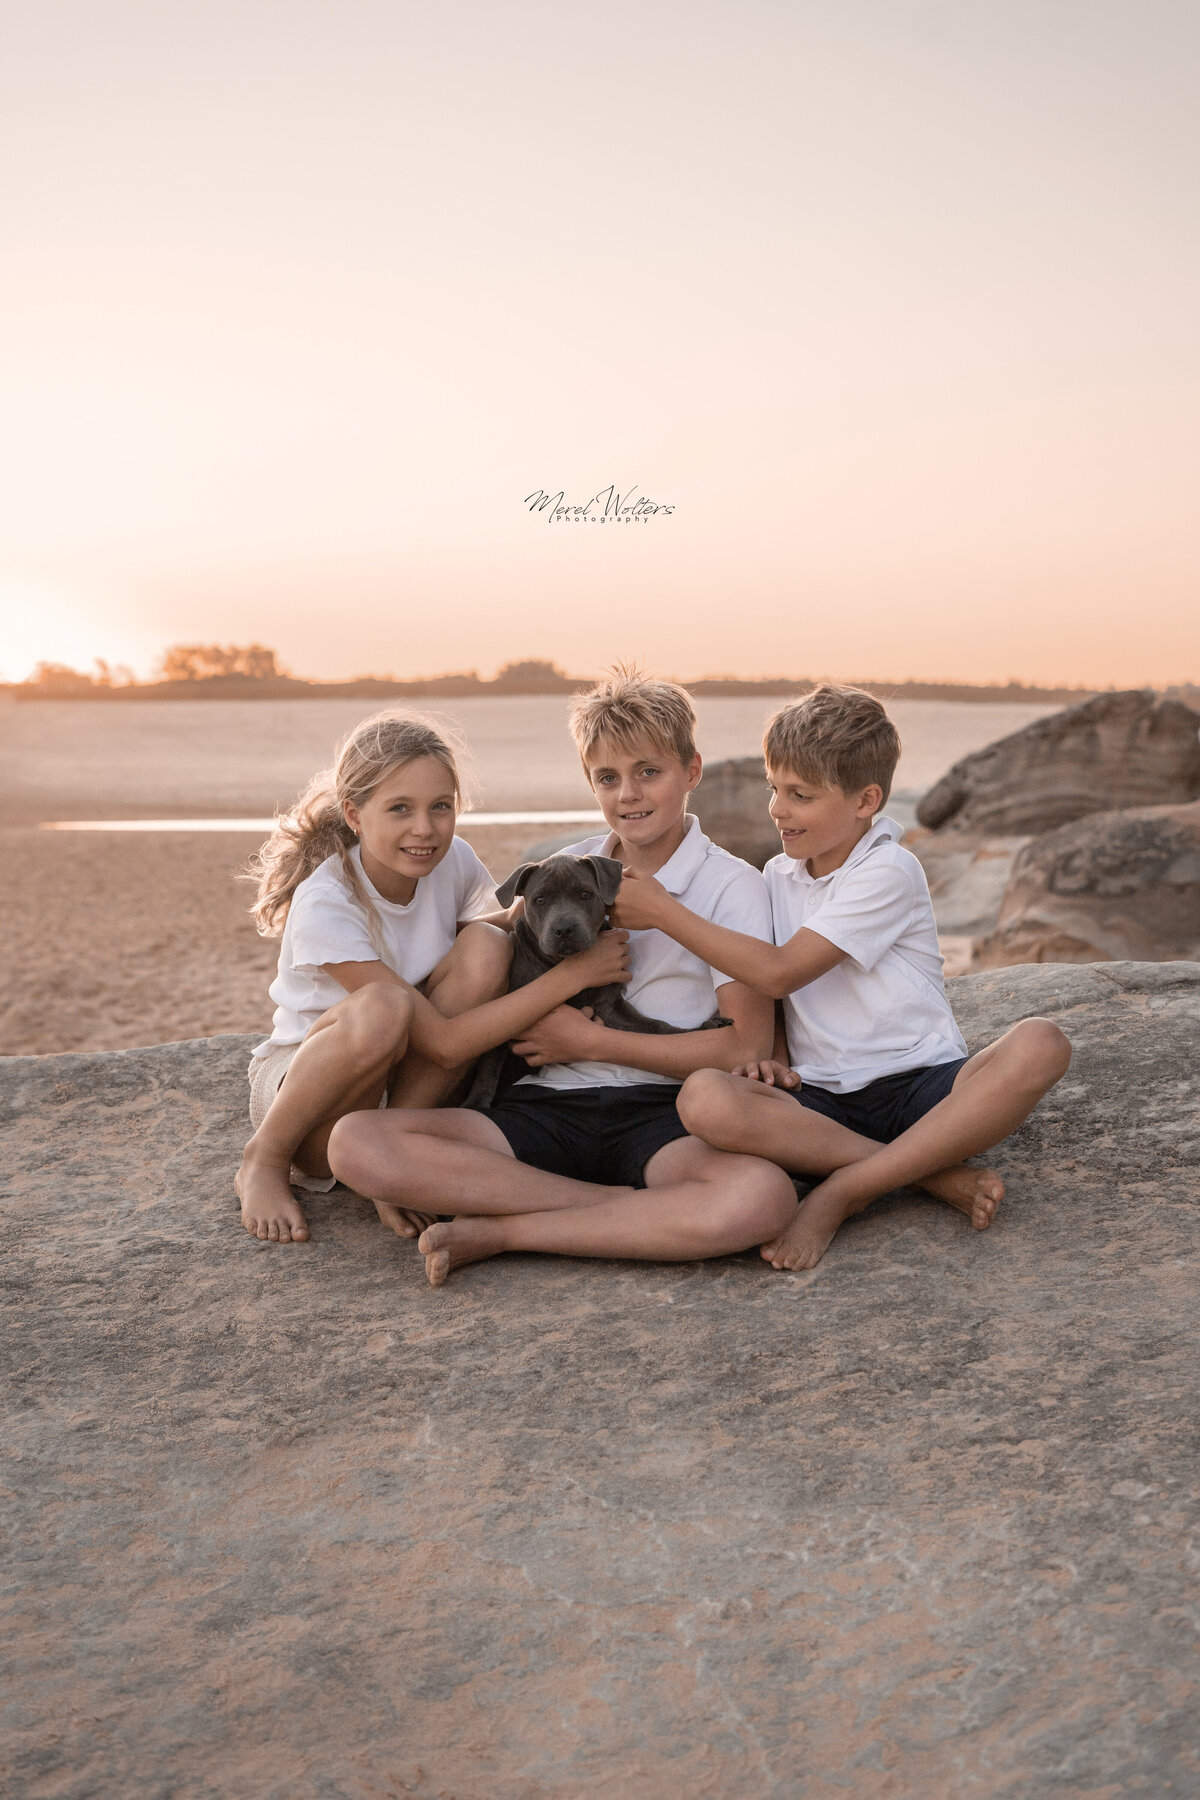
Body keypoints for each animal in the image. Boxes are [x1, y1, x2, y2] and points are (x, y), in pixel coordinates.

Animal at [465, 852, 731, 1111]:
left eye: (585, 894)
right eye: (539, 900)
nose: (564, 929)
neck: (563, 964)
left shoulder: (610, 1007)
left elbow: (657, 1028)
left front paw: (702, 1029)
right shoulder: (509, 1011)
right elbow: (490, 1061)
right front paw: (476, 1103)